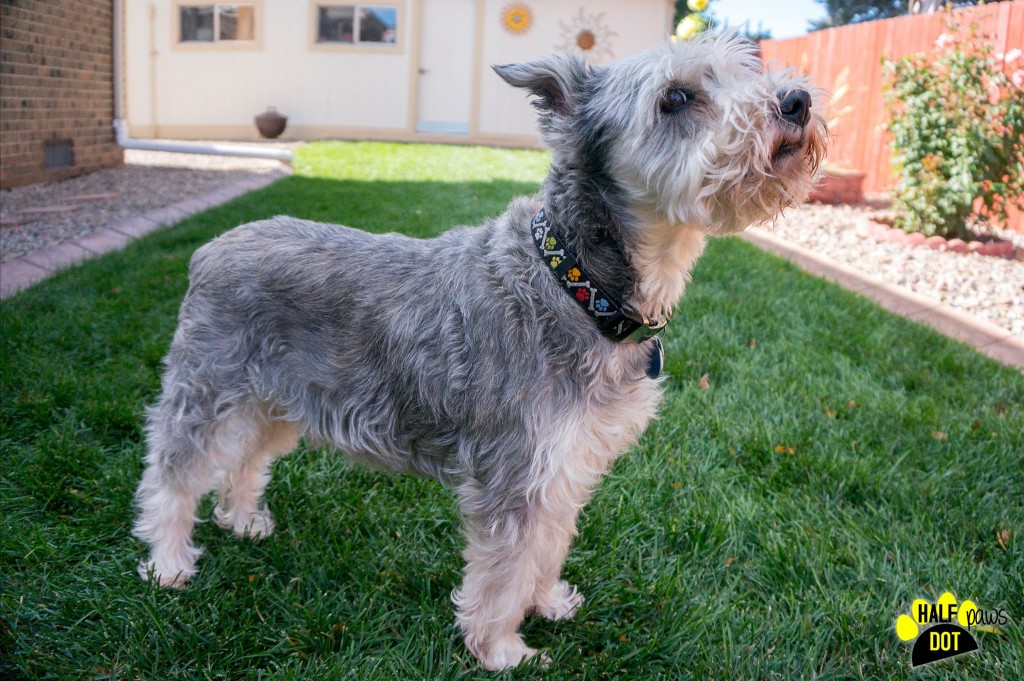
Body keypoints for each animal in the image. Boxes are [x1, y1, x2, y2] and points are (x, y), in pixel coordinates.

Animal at [134, 33, 823, 667]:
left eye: (749, 64)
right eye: (675, 98)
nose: (796, 101)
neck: (578, 286)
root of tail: (210, 249)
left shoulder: (564, 467)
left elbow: (548, 546)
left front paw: (546, 601)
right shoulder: (516, 473)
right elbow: (502, 571)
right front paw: (502, 648)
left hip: (278, 403)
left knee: (246, 460)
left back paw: (242, 518)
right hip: (208, 392)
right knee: (173, 475)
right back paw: (168, 561)